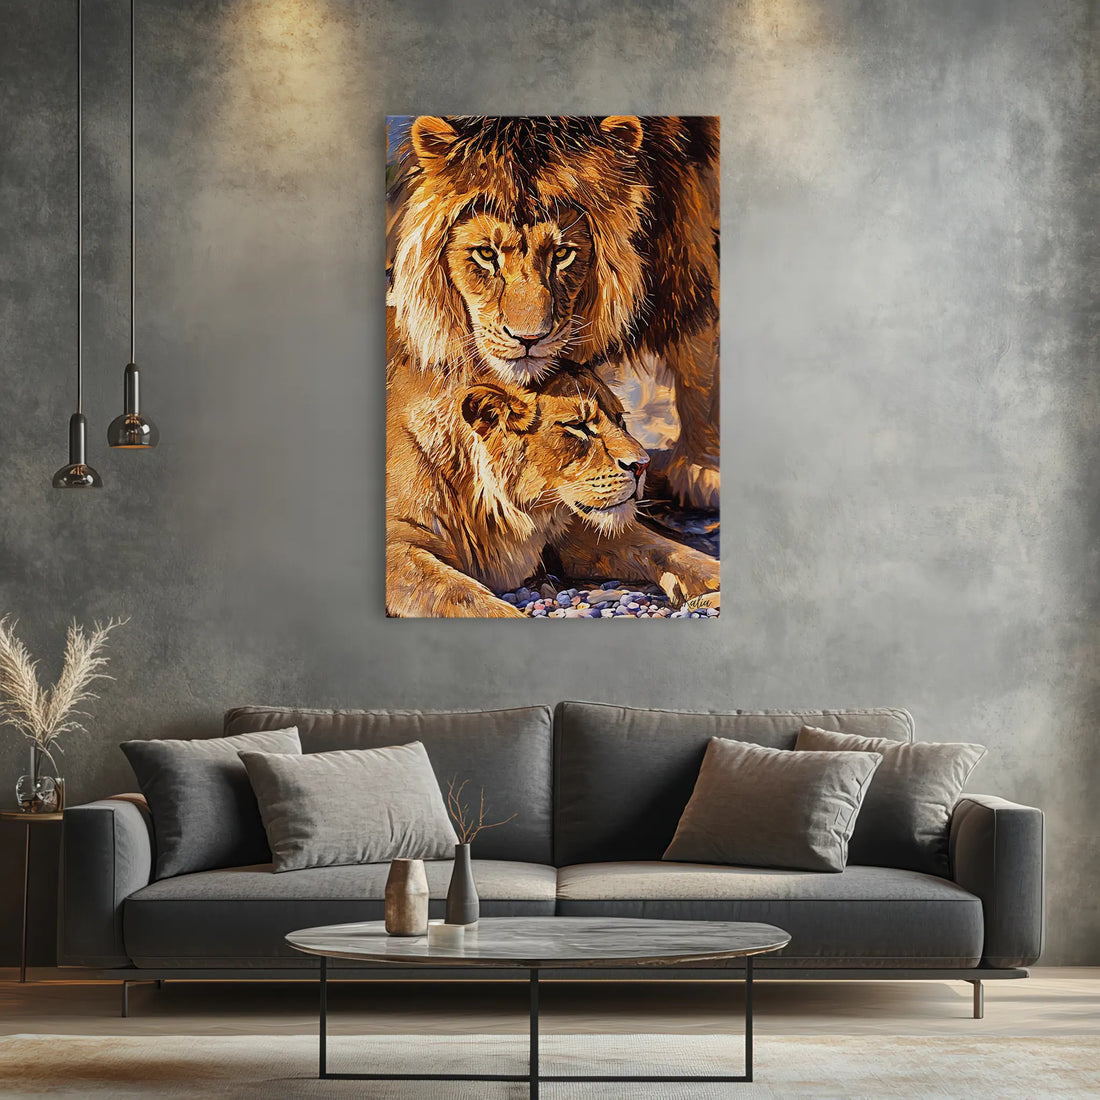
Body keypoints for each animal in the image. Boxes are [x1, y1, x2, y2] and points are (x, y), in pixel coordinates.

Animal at [386, 115, 720, 508]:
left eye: (562, 254)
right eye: (486, 254)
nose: (528, 339)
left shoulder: (691, 251)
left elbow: (698, 365)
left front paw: (702, 469)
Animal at [386, 352, 720, 619]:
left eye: (620, 420)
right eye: (578, 426)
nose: (642, 464)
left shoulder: (573, 528)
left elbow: (664, 548)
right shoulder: (397, 544)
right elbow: (464, 597)